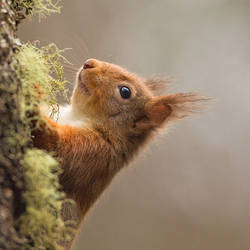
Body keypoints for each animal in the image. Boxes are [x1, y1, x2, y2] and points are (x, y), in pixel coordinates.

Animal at [31, 58, 207, 246]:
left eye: (125, 92)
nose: (89, 63)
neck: (77, 116)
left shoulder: (93, 152)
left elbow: (55, 149)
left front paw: (33, 98)